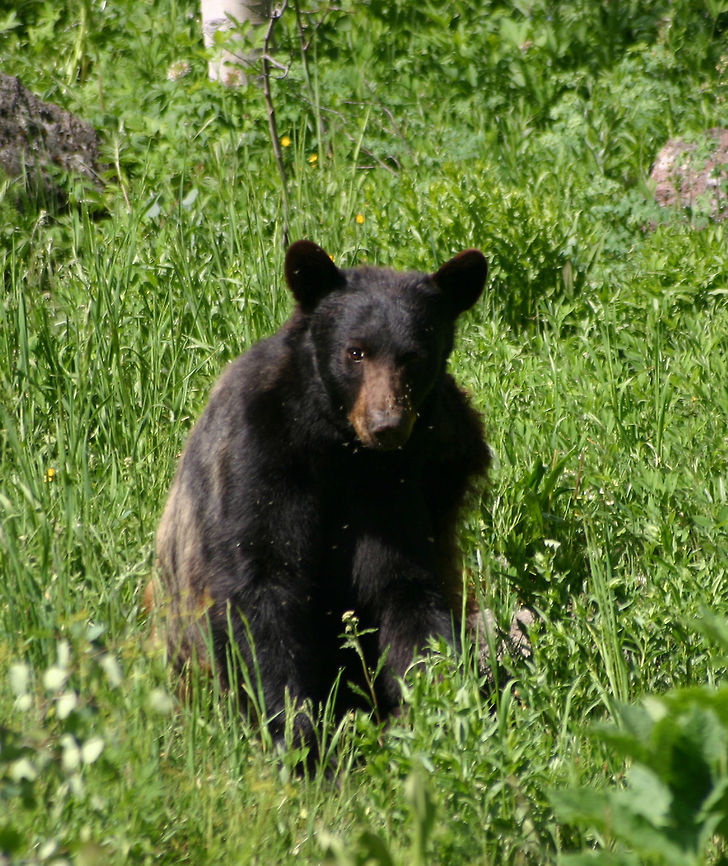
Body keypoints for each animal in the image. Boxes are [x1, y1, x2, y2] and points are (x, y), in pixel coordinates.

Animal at [151, 240, 490, 758]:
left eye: (413, 355)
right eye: (356, 352)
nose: (386, 425)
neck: (339, 450)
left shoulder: (397, 489)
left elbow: (405, 587)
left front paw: (437, 705)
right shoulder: (257, 458)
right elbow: (258, 585)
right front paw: (298, 735)